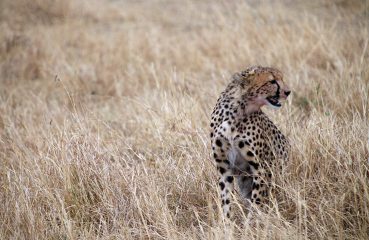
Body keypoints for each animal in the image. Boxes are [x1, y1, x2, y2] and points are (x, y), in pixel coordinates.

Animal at [210, 65, 290, 219]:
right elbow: (226, 199)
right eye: (272, 81)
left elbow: (256, 201)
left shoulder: (261, 168)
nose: (288, 92)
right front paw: (226, 222)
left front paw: (252, 223)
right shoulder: (224, 167)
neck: (238, 110)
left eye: (282, 78)